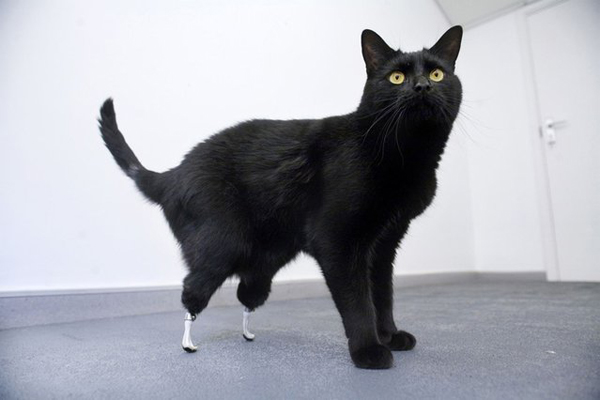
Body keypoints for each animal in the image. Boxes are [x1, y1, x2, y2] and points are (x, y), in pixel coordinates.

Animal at [98, 26, 463, 369]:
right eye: (396, 77)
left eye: (437, 74)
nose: (421, 87)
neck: (405, 155)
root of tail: (173, 174)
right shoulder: (337, 241)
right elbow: (358, 301)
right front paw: (369, 349)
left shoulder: (385, 243)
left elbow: (382, 295)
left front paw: (389, 335)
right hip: (222, 244)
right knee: (191, 291)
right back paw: (188, 343)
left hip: (267, 259)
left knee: (246, 294)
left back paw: (247, 334)